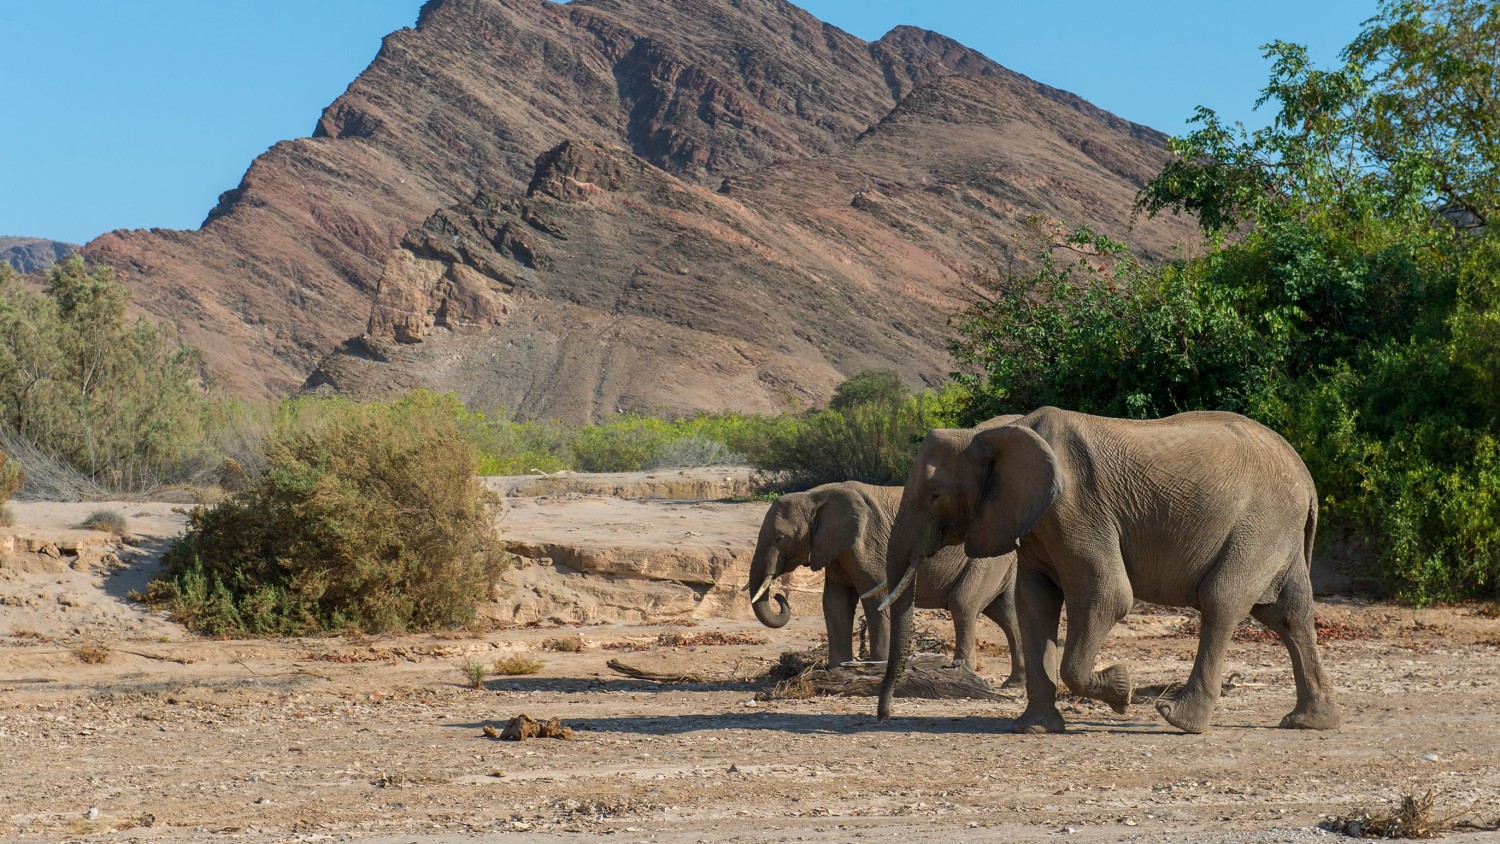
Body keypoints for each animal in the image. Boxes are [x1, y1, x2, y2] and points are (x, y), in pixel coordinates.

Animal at [747, 479, 1026, 683]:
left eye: (780, 538)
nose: (779, 596)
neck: (815, 495)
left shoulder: (868, 544)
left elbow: (875, 600)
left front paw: (875, 668)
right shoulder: (835, 549)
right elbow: (835, 603)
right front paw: (836, 671)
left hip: (984, 560)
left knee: (963, 605)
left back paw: (961, 671)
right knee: (1008, 614)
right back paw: (1013, 683)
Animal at [876, 407, 1344, 734]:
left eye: (935, 495)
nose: (883, 715)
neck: (997, 430)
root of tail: (1306, 477)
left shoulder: (1077, 510)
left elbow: (1108, 595)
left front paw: (1122, 690)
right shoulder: (1037, 523)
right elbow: (1034, 605)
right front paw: (1033, 729)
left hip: (1261, 523)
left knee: (1222, 600)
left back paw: (1178, 718)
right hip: (1276, 531)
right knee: (1288, 614)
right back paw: (1309, 722)